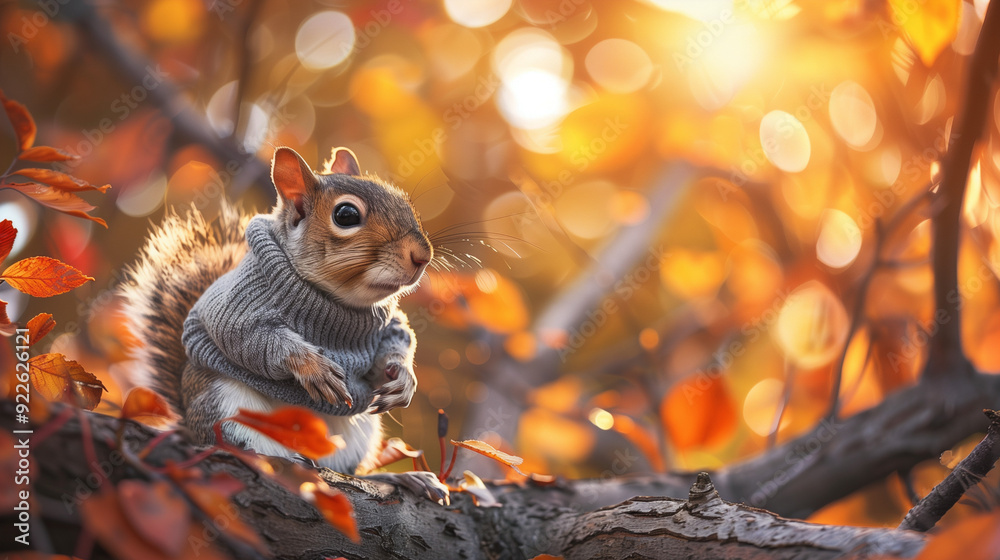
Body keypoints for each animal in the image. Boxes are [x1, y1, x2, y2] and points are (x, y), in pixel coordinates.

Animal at [120, 146, 437, 481]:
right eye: (346, 215)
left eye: (404, 202)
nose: (422, 255)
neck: (338, 301)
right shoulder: (236, 310)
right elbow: (253, 340)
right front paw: (313, 368)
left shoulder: (384, 325)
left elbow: (398, 339)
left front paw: (403, 376)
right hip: (226, 406)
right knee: (242, 445)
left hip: (358, 431)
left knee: (350, 471)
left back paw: (404, 478)